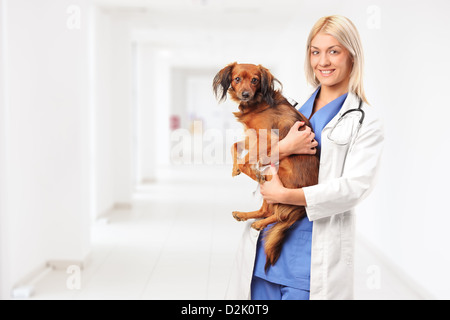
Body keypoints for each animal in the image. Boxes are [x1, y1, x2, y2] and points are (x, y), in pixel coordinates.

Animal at [213, 62, 318, 270]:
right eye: (237, 79)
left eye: (255, 80)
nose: (245, 94)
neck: (257, 105)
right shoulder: (252, 137)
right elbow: (234, 146)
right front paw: (235, 168)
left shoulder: (268, 139)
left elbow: (247, 160)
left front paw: (251, 171)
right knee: (267, 211)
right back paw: (245, 215)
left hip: (279, 184)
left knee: (282, 215)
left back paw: (260, 221)